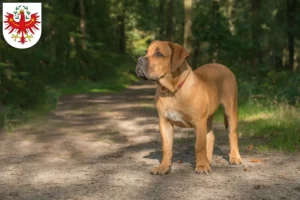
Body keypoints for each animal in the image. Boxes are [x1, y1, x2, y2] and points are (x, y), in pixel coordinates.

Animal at [135, 40, 241, 173]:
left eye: (159, 53)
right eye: (146, 52)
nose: (139, 59)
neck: (172, 90)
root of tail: (224, 67)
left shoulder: (199, 122)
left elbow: (199, 145)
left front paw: (201, 166)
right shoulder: (165, 122)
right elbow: (166, 146)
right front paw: (163, 167)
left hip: (230, 109)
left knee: (232, 134)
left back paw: (234, 158)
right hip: (208, 118)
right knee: (210, 136)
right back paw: (208, 160)